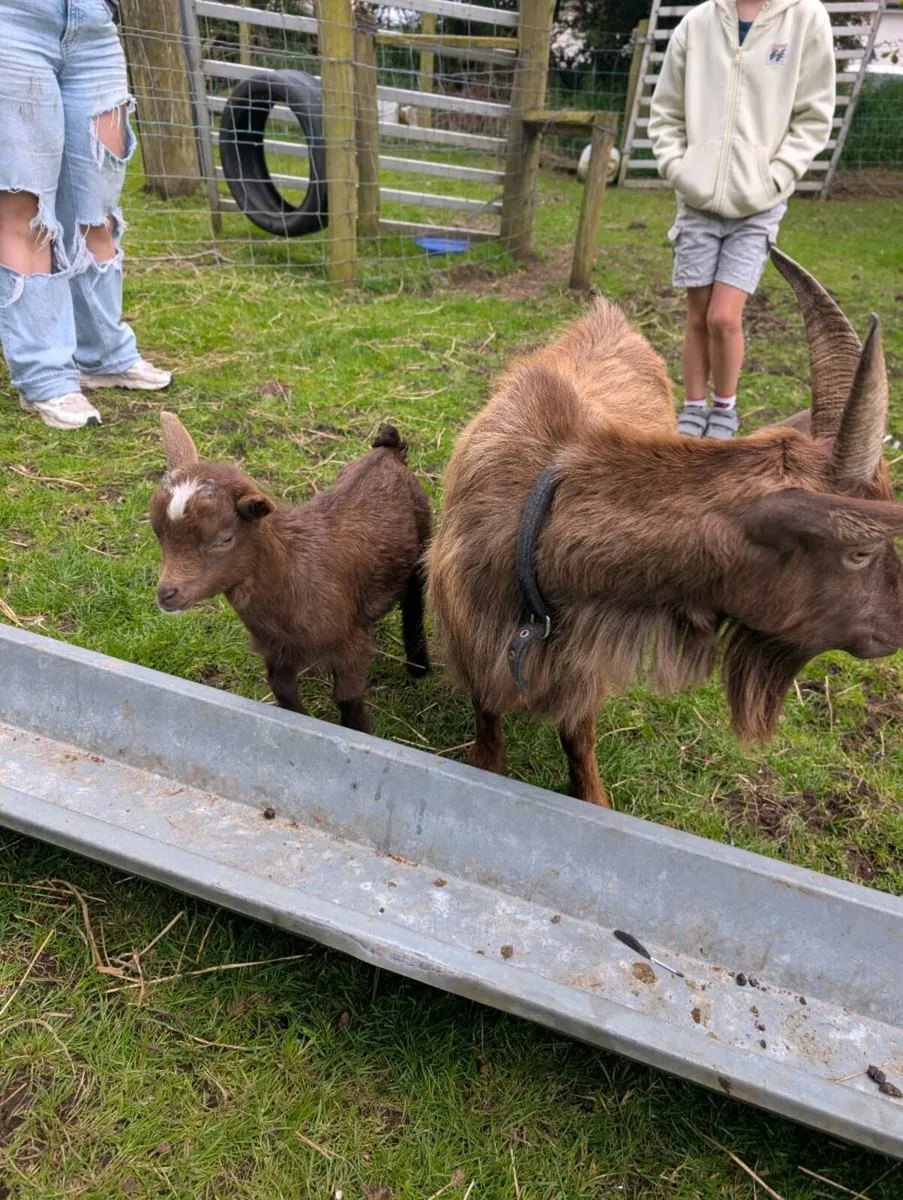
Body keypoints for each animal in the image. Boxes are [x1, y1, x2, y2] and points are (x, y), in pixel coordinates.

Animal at [150, 414, 431, 733]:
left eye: (225, 539)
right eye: (159, 534)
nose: (166, 594)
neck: (295, 573)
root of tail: (388, 452)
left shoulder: (350, 645)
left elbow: (347, 698)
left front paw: (358, 731)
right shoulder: (276, 649)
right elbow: (283, 691)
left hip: (423, 538)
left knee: (414, 604)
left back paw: (419, 667)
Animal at [427, 250, 903, 807]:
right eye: (859, 550)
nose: (898, 624)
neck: (533, 521)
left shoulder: (581, 672)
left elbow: (579, 738)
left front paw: (593, 797)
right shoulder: (474, 650)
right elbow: (489, 733)